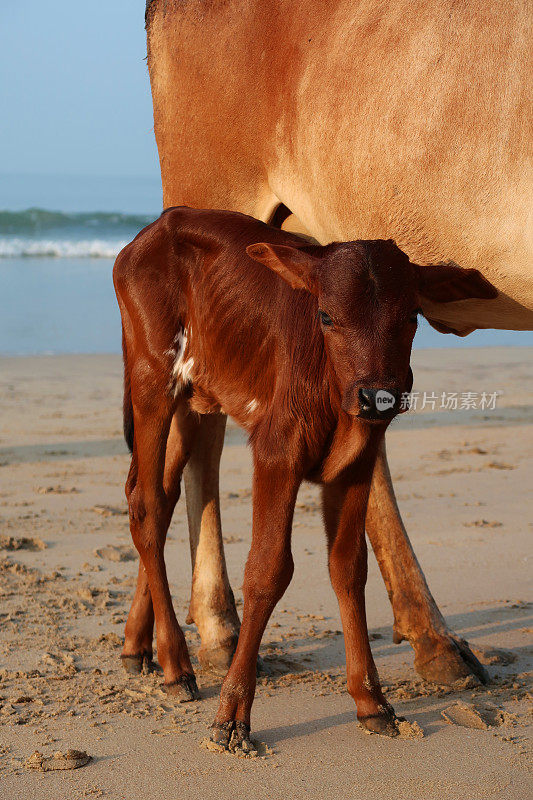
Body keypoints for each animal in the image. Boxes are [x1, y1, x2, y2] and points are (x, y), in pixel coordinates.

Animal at [112, 208, 494, 752]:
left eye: (411, 317)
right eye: (327, 317)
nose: (378, 395)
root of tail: (158, 226)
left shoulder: (357, 464)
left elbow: (349, 568)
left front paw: (371, 701)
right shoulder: (277, 454)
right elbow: (268, 570)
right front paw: (232, 715)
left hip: (195, 399)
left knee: (158, 499)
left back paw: (139, 649)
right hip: (152, 379)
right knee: (144, 504)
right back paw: (176, 667)